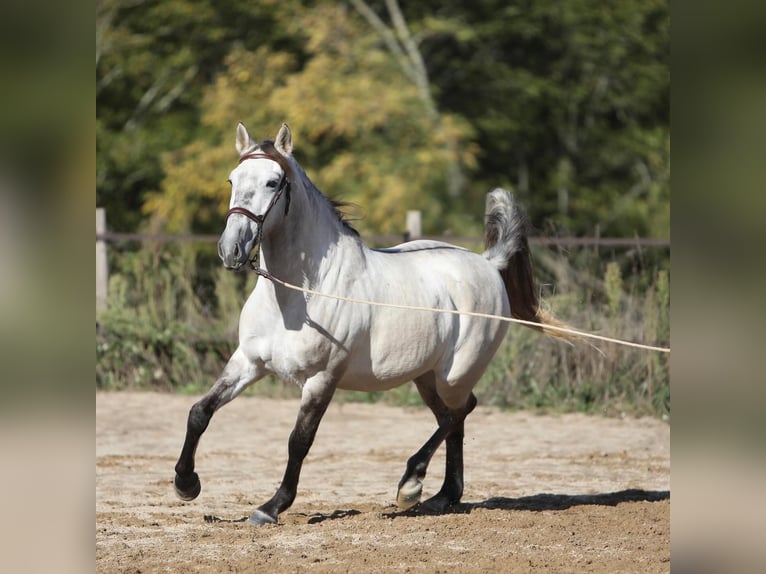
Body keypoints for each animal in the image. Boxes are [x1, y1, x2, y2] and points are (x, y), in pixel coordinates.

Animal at [177, 122, 568, 528]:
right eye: (232, 179)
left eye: (273, 182)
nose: (231, 250)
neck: (299, 295)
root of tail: (488, 264)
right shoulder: (248, 363)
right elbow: (199, 412)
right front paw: (186, 484)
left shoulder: (322, 379)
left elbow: (299, 441)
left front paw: (271, 507)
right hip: (427, 376)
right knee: (452, 418)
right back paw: (443, 496)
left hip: (456, 373)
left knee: (460, 411)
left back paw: (411, 484)